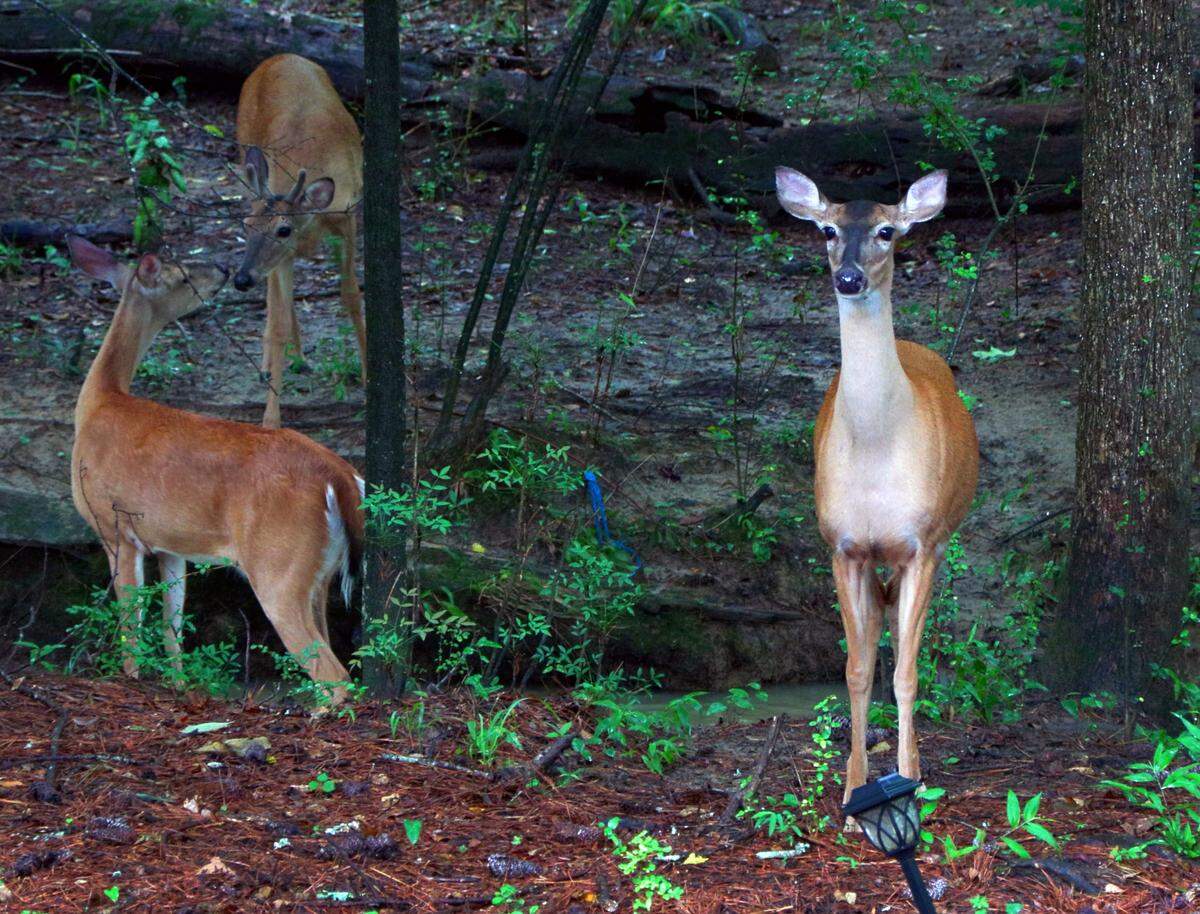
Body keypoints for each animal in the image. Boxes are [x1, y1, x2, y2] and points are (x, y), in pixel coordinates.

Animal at [68, 235, 363, 697]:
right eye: (185, 276)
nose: (225, 270)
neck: (99, 403)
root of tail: (340, 477)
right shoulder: (169, 545)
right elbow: (171, 625)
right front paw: (177, 686)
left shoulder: (113, 525)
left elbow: (131, 626)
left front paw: (130, 680)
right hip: (322, 575)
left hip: (279, 566)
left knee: (334, 677)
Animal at [232, 53, 365, 429]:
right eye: (246, 224)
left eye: (283, 229)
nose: (240, 279)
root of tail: (278, 57)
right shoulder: (282, 256)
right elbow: (278, 320)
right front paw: (270, 420)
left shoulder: (349, 221)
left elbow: (351, 296)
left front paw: (369, 380)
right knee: (275, 297)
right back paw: (273, 363)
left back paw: (299, 357)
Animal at [775, 168, 979, 799]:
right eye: (827, 229)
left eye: (888, 231)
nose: (849, 277)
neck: (877, 450)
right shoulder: (843, 546)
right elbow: (857, 669)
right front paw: (853, 785)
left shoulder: (924, 542)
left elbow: (909, 673)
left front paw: (912, 778)